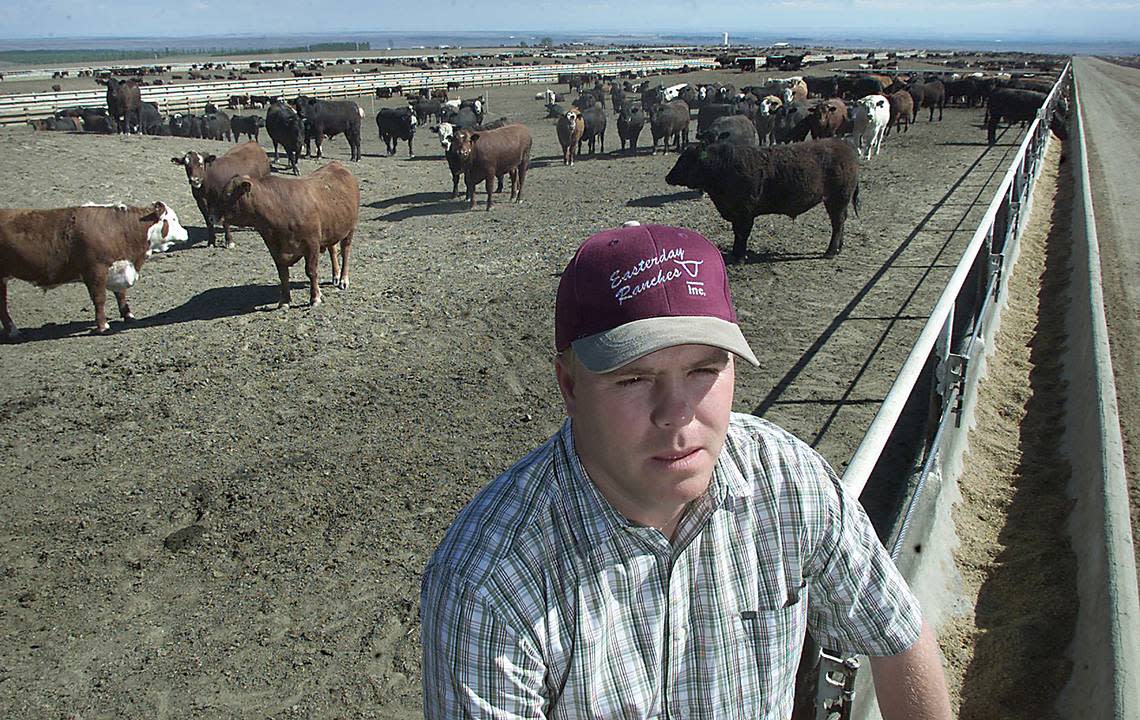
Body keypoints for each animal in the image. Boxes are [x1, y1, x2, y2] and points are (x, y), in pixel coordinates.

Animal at [0, 201, 186, 337]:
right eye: (173, 220)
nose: (186, 233)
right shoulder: (95, 272)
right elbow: (99, 299)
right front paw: (103, 326)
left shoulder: (117, 268)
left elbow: (121, 295)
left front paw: (129, 316)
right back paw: (13, 331)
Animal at [217, 160, 360, 307]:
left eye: (228, 195)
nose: (213, 217)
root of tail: (336, 164)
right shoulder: (274, 248)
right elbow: (283, 274)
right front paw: (285, 300)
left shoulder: (312, 244)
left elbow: (311, 271)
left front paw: (315, 297)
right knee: (333, 249)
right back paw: (335, 275)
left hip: (349, 229)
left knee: (345, 252)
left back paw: (343, 279)